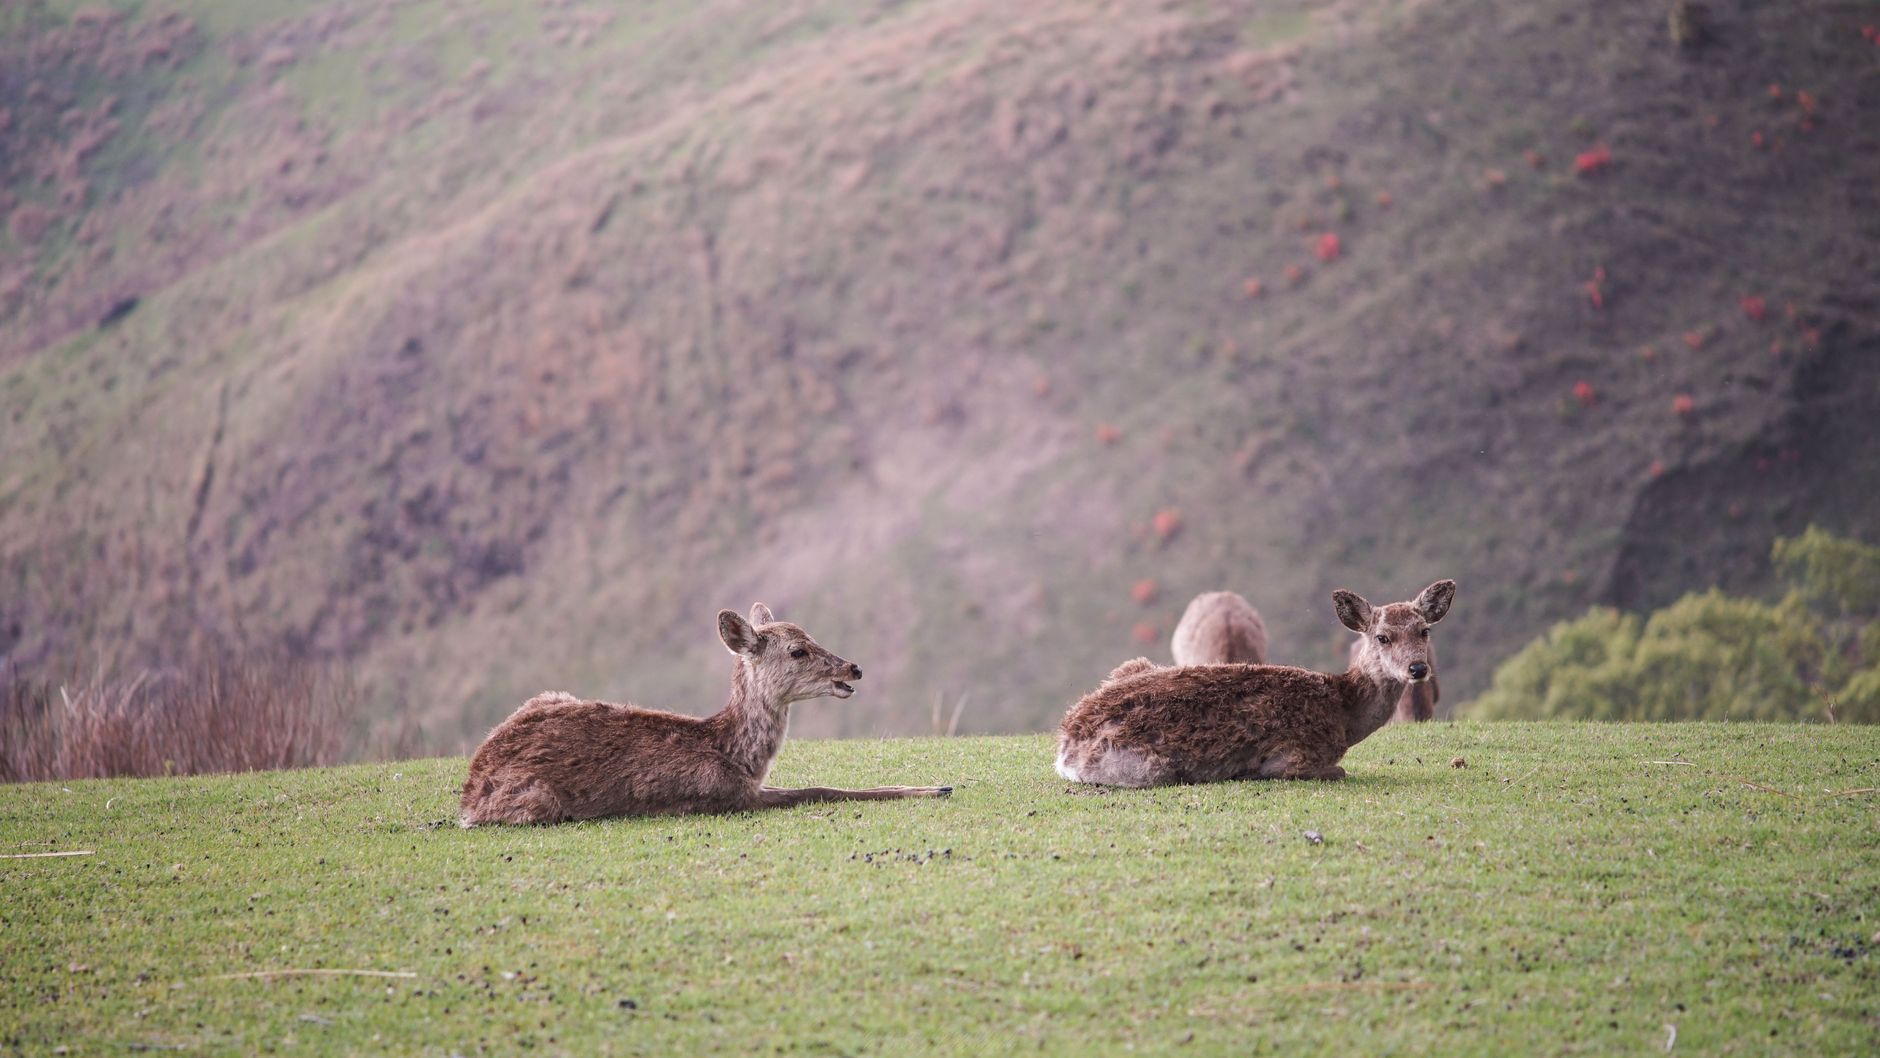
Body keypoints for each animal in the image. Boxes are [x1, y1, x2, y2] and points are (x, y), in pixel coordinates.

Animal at [460, 604, 952, 825]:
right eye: (798, 650)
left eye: (812, 635)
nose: (854, 668)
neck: (735, 756)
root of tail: (469, 788)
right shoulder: (725, 797)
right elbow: (821, 789)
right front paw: (935, 788)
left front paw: (940, 784)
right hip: (534, 799)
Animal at [1055, 580, 1454, 786]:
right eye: (1383, 637)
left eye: (1425, 630)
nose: (1417, 668)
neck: (1343, 713)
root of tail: (1065, 744)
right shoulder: (1293, 757)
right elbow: (1338, 771)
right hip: (1153, 769)